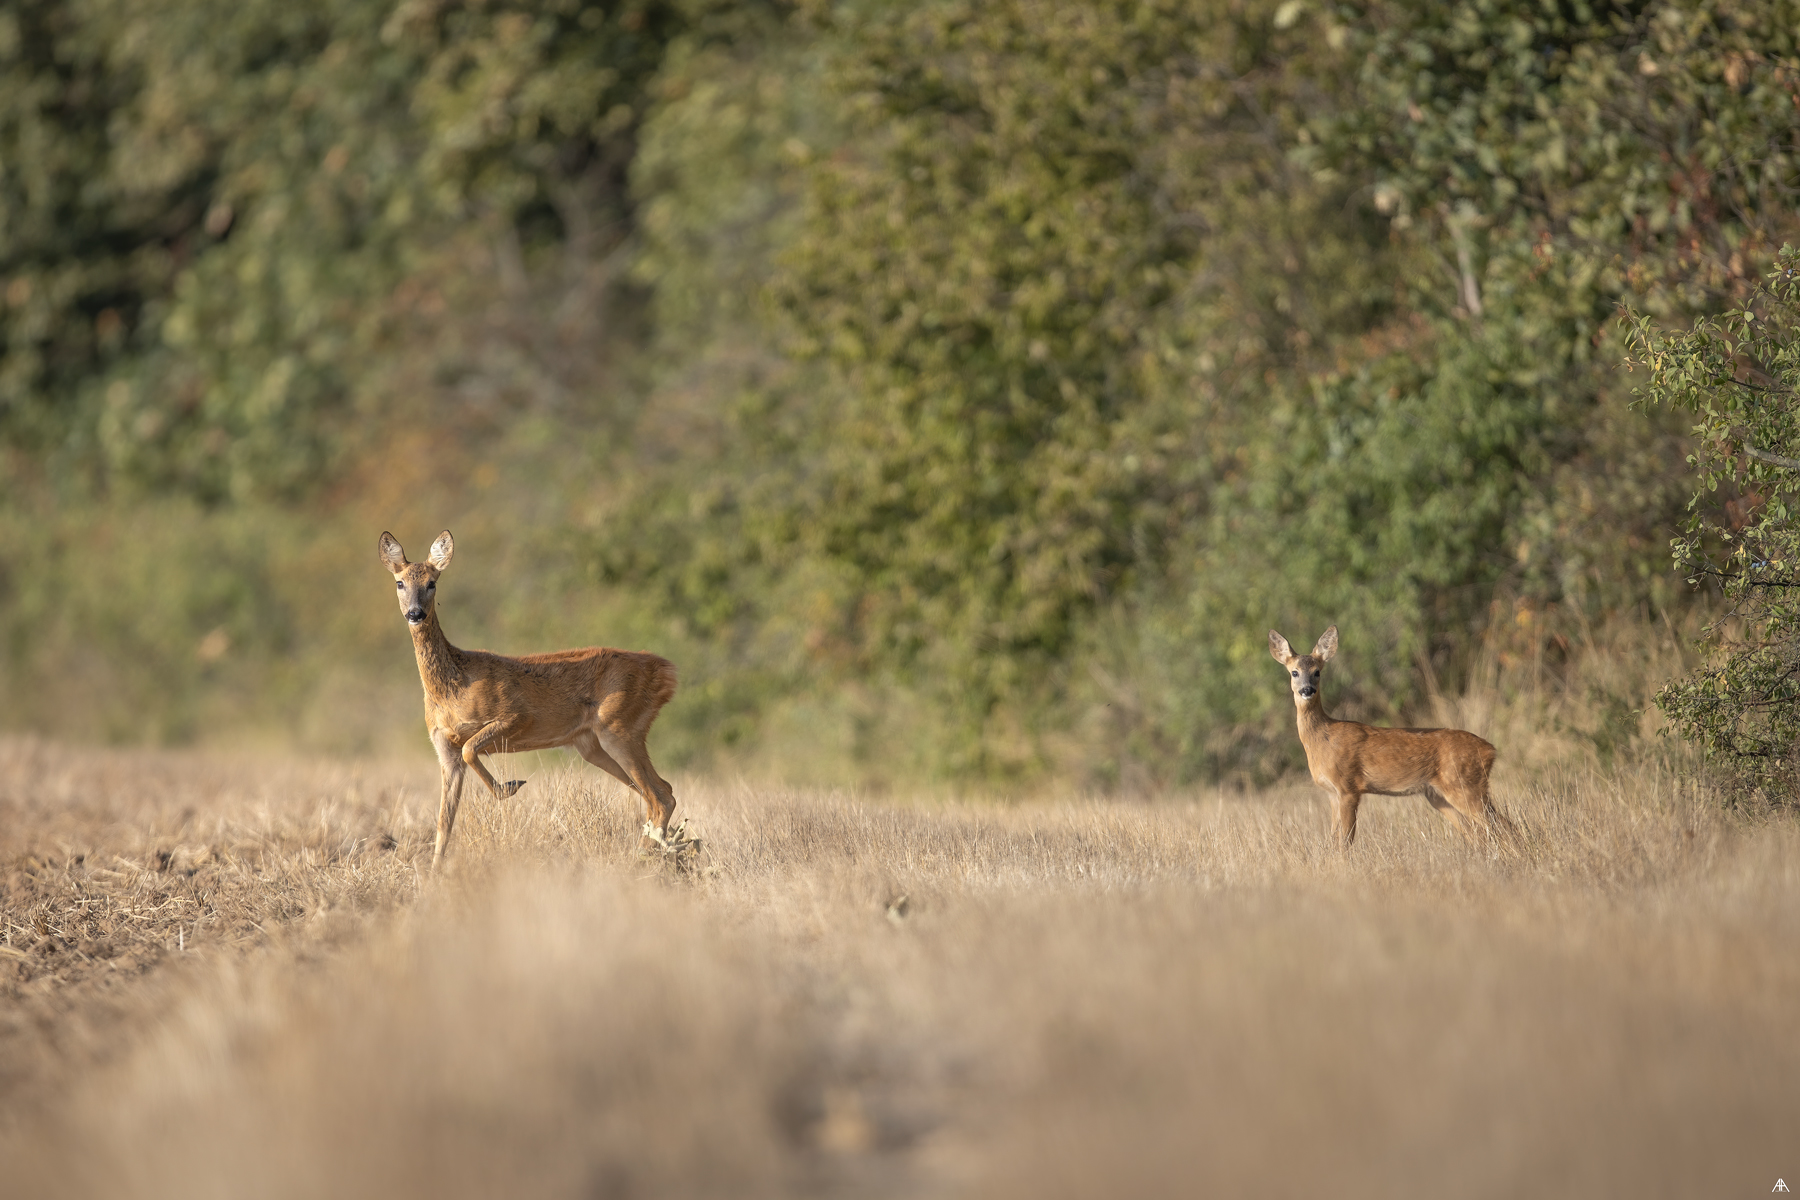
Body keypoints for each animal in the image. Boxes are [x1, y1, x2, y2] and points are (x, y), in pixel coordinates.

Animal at [379, 530, 679, 868]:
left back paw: (641, 860)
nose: (415, 613)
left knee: (661, 795)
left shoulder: (517, 715)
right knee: (658, 793)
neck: (452, 689)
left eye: (432, 582)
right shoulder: (445, 749)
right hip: (592, 743)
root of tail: (665, 670)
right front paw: (433, 875)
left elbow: (471, 749)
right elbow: (444, 822)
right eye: (399, 582)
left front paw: (509, 787)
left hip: (619, 726)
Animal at [1269, 625, 1508, 850]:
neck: (1322, 738)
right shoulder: (1331, 793)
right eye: (1294, 672)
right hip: (1440, 795)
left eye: (1317, 672)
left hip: (1465, 785)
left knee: (1503, 828)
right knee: (1480, 834)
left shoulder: (1348, 787)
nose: (1307, 690)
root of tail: (1491, 750)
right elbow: (1334, 841)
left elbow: (1346, 842)